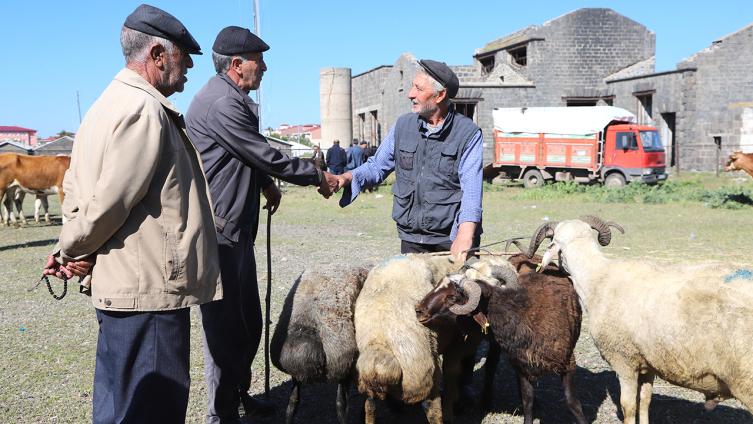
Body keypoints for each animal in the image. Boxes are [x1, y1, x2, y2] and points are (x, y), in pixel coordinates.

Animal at [354, 253, 500, 422]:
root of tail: (380, 346)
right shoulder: (456, 348)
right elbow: (451, 377)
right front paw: (453, 408)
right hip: (423, 375)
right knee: (432, 409)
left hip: (373, 380)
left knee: (370, 404)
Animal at [418, 252, 588, 424]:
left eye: (451, 298)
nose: (418, 310)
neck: (522, 314)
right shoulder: (520, 363)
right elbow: (527, 397)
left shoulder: (568, 362)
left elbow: (572, 401)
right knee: (492, 365)